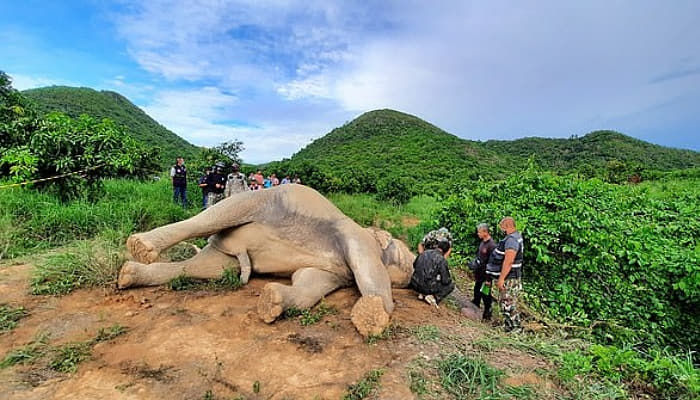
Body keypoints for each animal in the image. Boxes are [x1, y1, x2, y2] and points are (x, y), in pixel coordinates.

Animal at [118, 184, 418, 338]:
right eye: (407, 254)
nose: (418, 260)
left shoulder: (336, 271)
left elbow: (309, 282)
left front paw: (271, 302)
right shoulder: (356, 236)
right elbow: (368, 267)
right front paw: (374, 315)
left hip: (226, 255)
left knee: (201, 268)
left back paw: (128, 275)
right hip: (263, 199)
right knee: (214, 216)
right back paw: (140, 246)